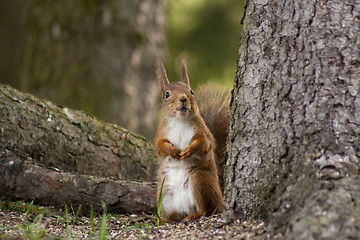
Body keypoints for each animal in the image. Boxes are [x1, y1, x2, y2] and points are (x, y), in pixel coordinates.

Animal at [154, 62, 228, 221]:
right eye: (167, 94)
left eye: (191, 91)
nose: (183, 98)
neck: (180, 120)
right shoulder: (160, 134)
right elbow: (160, 147)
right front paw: (173, 151)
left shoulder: (203, 132)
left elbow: (204, 143)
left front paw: (188, 150)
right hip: (164, 193)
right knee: (173, 217)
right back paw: (164, 219)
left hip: (199, 180)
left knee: (208, 211)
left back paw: (194, 215)